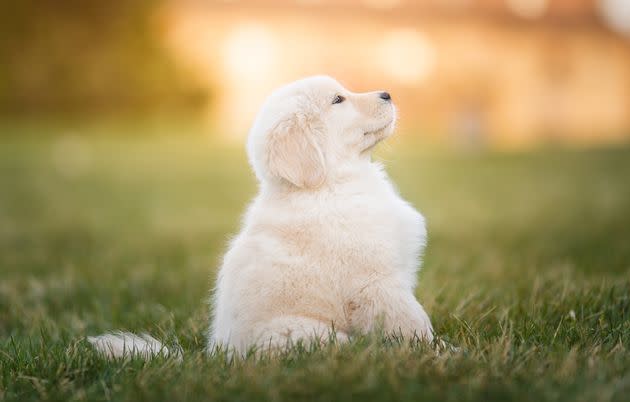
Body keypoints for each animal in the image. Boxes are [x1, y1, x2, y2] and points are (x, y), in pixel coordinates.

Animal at [89, 75, 434, 358]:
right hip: (307, 333)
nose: (388, 93)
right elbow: (413, 322)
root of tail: (218, 358)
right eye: (338, 100)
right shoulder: (376, 283)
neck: (329, 185)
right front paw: (438, 353)